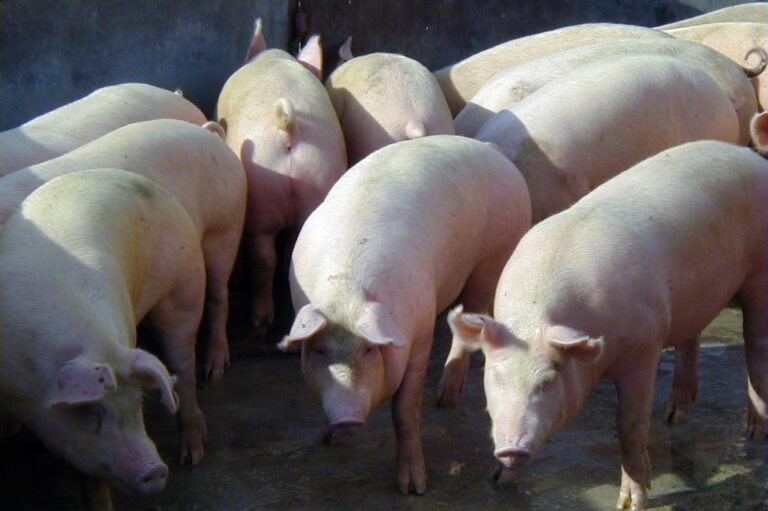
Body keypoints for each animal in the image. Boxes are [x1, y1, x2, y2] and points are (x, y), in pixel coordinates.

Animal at [0, 168, 208, 495]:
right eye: (90, 413)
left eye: (138, 404)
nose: (156, 470)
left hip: (185, 284)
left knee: (183, 366)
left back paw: (192, 456)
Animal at [216, 18, 347, 338]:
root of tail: (289, 126)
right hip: (319, 176)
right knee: (290, 252)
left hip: (261, 199)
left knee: (264, 260)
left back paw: (259, 323)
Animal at [278, 135, 531, 494]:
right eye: (320, 351)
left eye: (369, 349)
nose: (345, 419)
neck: (346, 296)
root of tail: (489, 147)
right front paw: (327, 440)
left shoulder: (421, 332)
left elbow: (404, 410)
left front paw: (414, 488)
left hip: (494, 257)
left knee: (470, 317)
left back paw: (445, 399)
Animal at [446, 139, 768, 509]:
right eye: (495, 378)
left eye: (548, 381)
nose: (511, 448)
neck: (534, 320)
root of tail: (747, 155)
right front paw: (497, 479)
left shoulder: (646, 346)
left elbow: (630, 425)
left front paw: (631, 503)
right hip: (694, 298)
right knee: (692, 339)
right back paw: (675, 416)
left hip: (759, 272)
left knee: (756, 343)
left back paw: (754, 432)